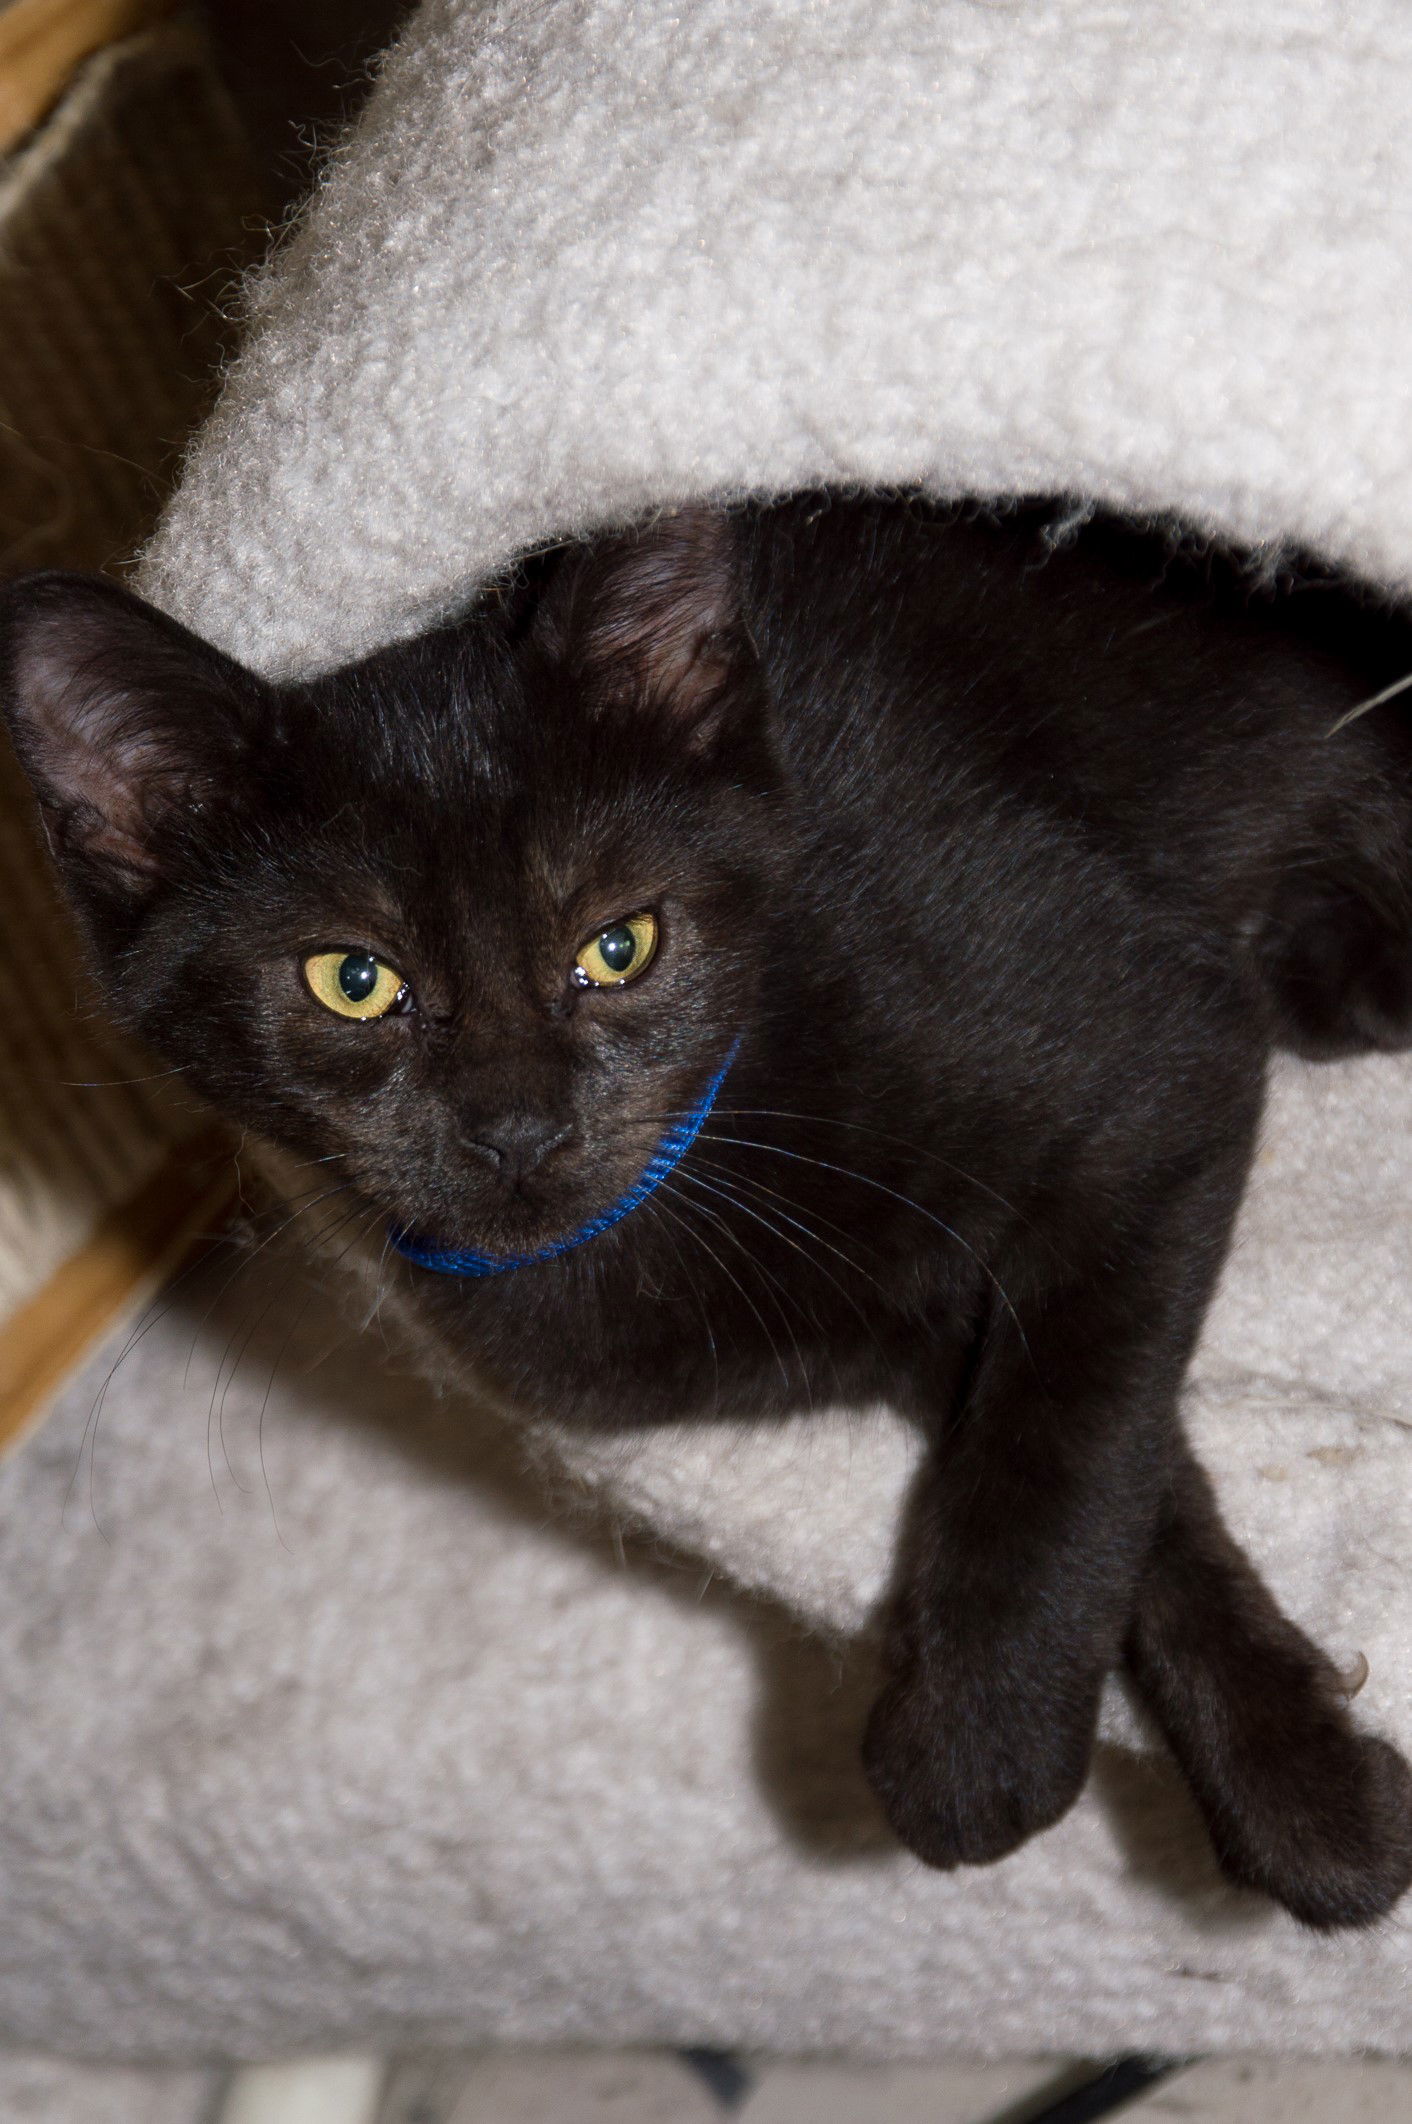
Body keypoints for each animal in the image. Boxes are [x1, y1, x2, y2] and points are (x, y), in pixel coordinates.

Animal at [2, 497, 1409, 1928]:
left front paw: (987, 1737)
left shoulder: (1156, 1067)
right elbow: (1129, 1483)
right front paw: (1304, 1789)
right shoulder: (933, 1328)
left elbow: (1060, 1437)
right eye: (352, 980)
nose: (519, 1131)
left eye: (620, 945)